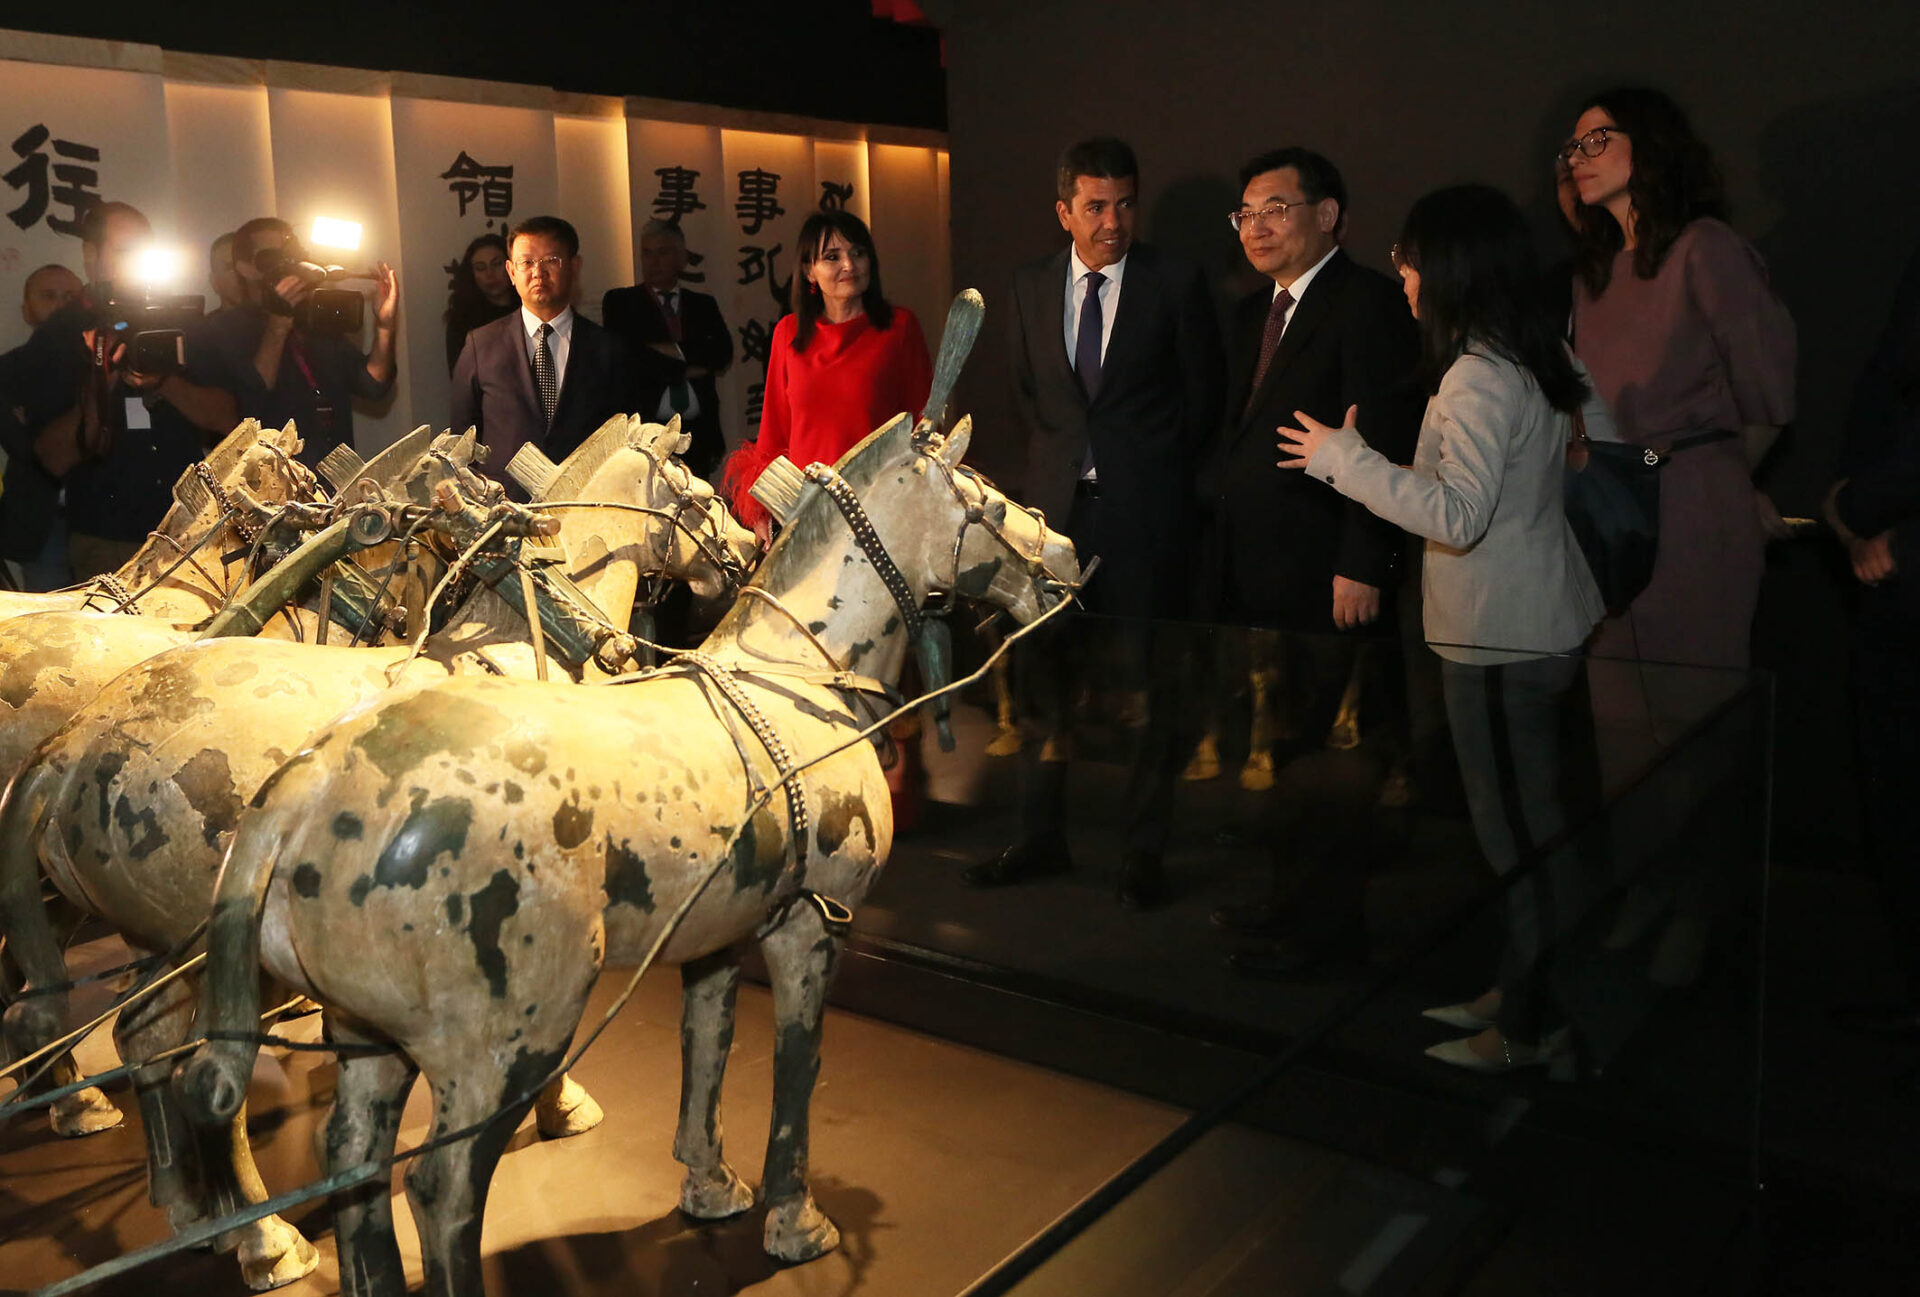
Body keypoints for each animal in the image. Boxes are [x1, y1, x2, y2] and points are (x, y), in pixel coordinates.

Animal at [182, 412, 1076, 1297]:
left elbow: (707, 1045)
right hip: (501, 1048)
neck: (797, 676)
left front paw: (710, 1184)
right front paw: (795, 1220)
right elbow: (798, 1065)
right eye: (991, 501)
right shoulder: (813, 925)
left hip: (370, 1035)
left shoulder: (718, 936)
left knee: (356, 1169)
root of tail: (303, 790)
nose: (1064, 555)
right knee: (441, 1190)